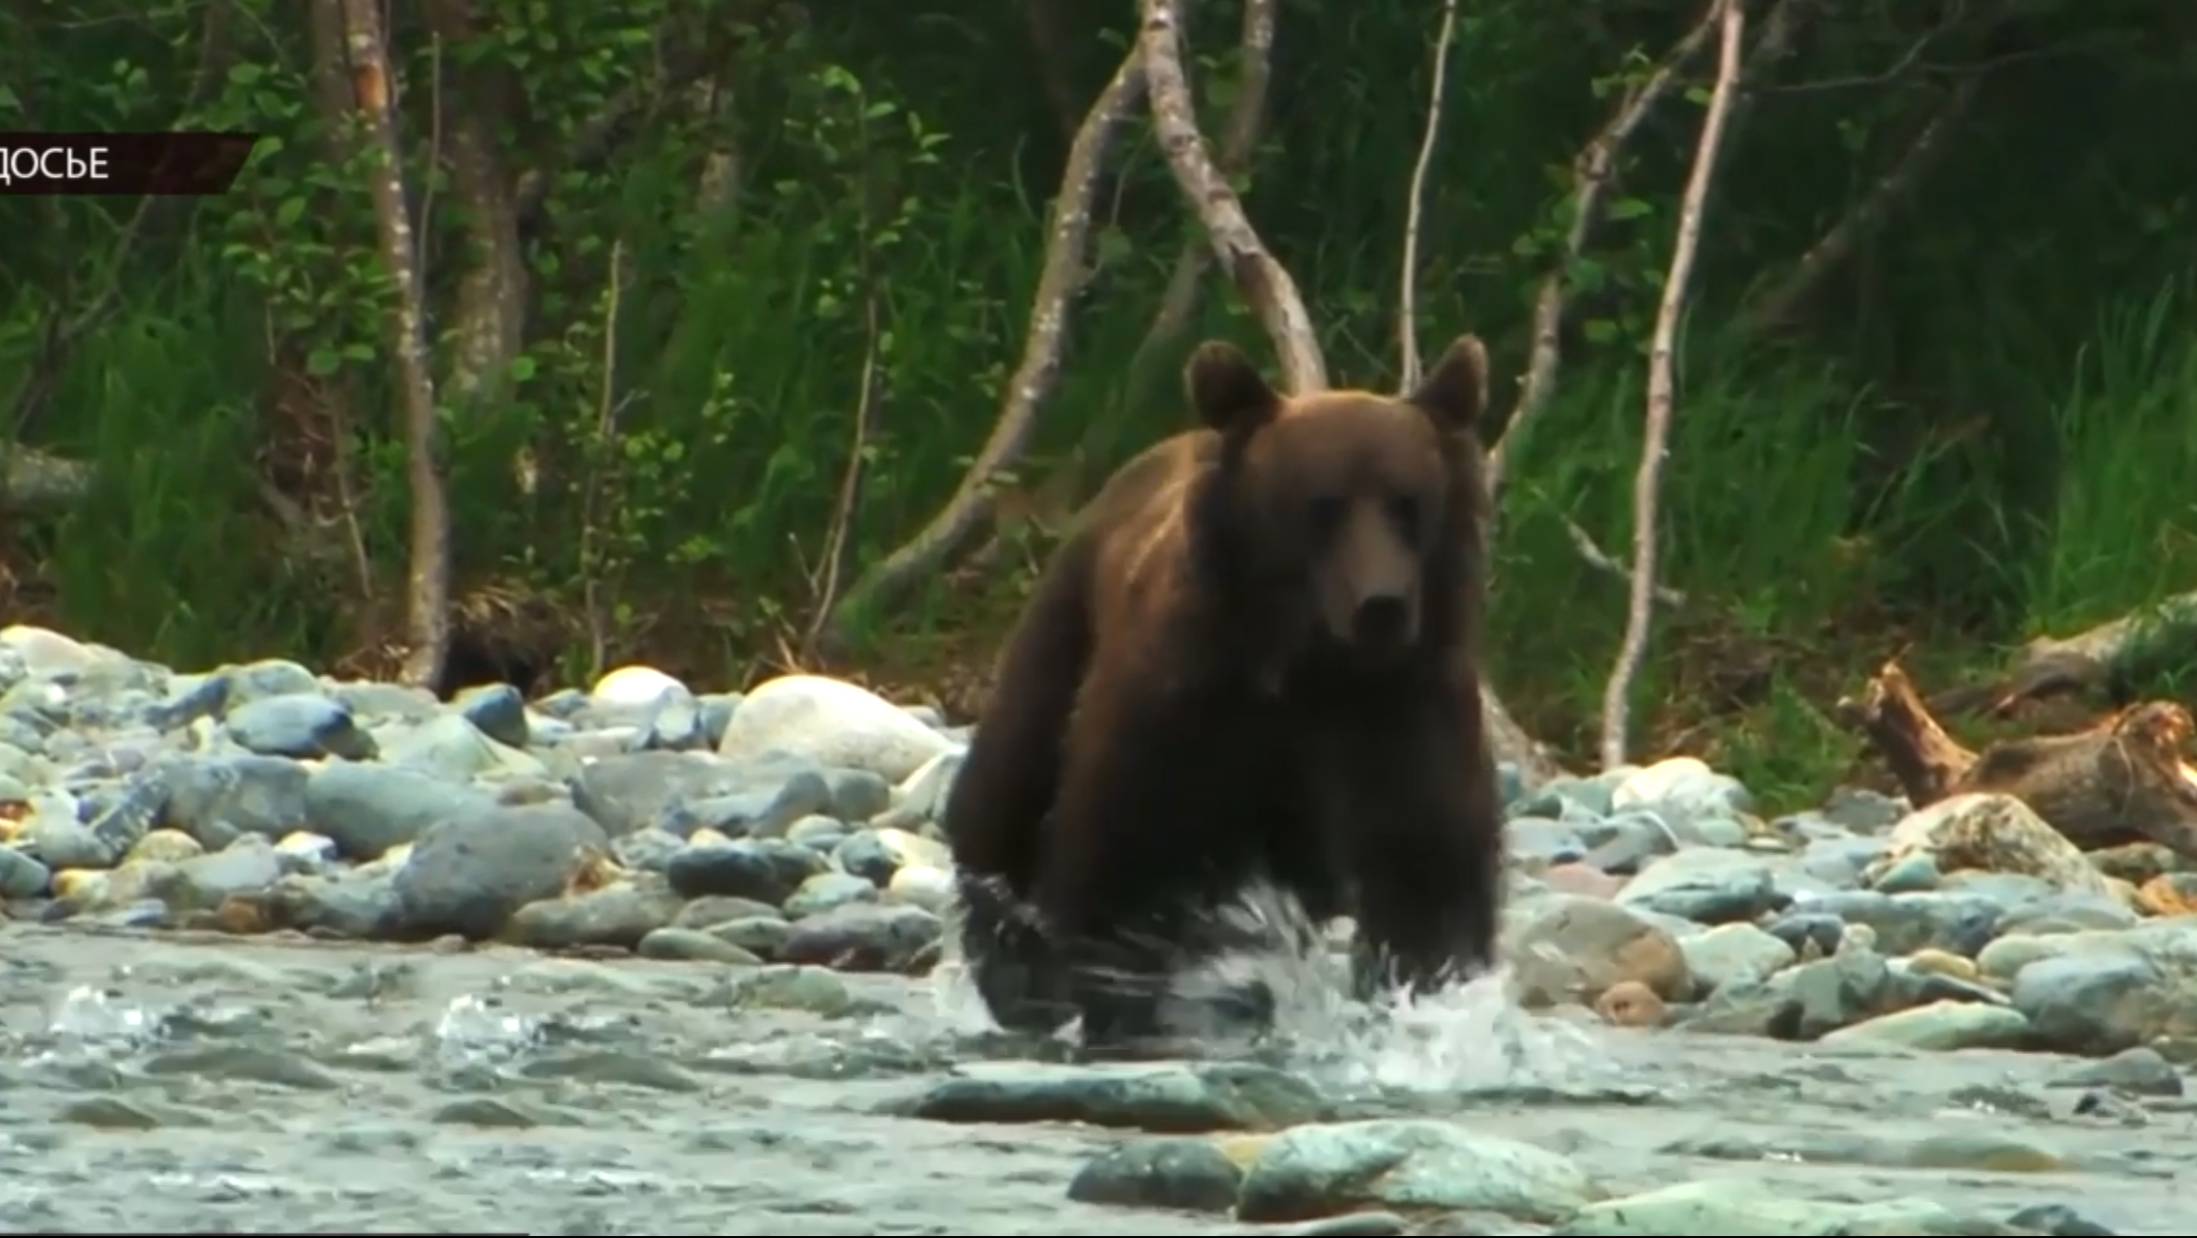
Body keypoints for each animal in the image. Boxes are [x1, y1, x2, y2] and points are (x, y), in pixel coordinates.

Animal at [944, 334, 1511, 1051]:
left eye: (1406, 502)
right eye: (1323, 505)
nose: (1380, 606)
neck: (1309, 664)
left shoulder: (1404, 707)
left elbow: (1427, 874)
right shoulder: (1187, 706)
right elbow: (1121, 861)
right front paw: (1116, 1007)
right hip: (1059, 634)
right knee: (1000, 797)